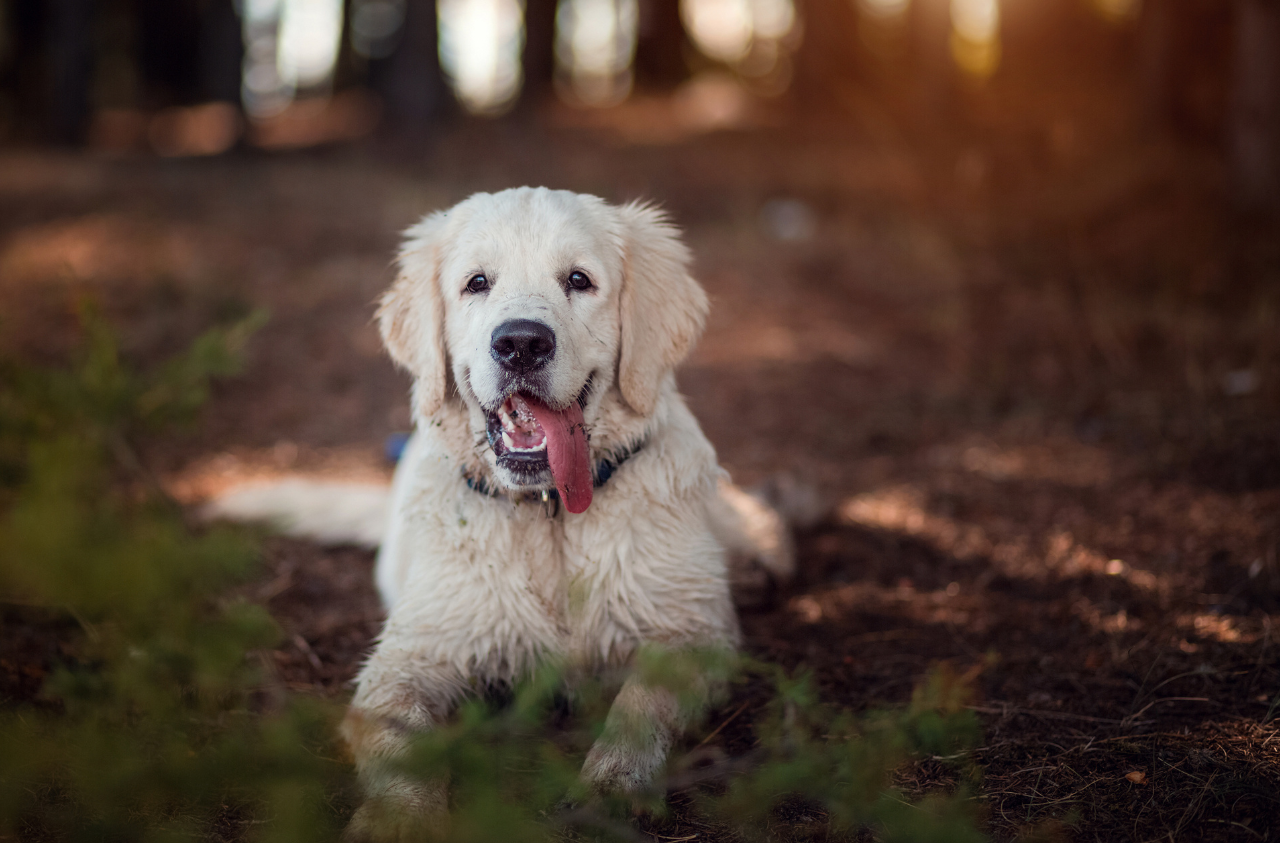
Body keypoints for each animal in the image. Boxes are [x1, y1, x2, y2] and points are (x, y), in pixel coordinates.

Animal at [340, 188, 788, 839]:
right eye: (477, 283)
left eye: (579, 280)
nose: (521, 344)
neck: (550, 512)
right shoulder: (408, 658)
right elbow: (402, 742)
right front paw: (402, 819)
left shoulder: (692, 634)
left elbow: (640, 703)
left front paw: (611, 782)